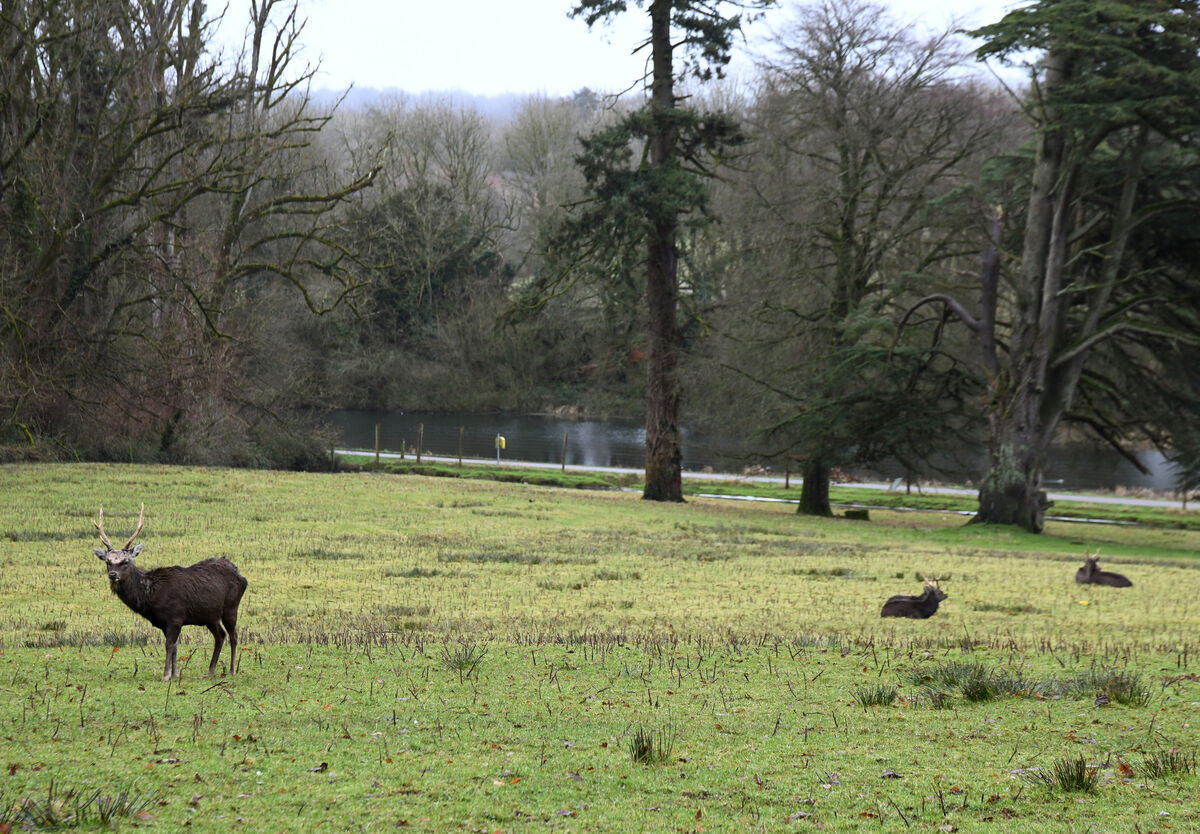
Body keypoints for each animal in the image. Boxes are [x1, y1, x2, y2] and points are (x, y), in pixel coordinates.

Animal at [93, 504, 248, 681]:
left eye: (125, 561)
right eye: (108, 562)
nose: (113, 575)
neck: (150, 598)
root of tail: (241, 576)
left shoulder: (175, 616)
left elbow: (169, 645)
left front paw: (166, 675)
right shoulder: (164, 622)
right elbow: (174, 646)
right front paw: (175, 674)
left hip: (231, 606)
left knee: (234, 635)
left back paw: (232, 670)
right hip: (209, 615)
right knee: (220, 635)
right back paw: (210, 670)